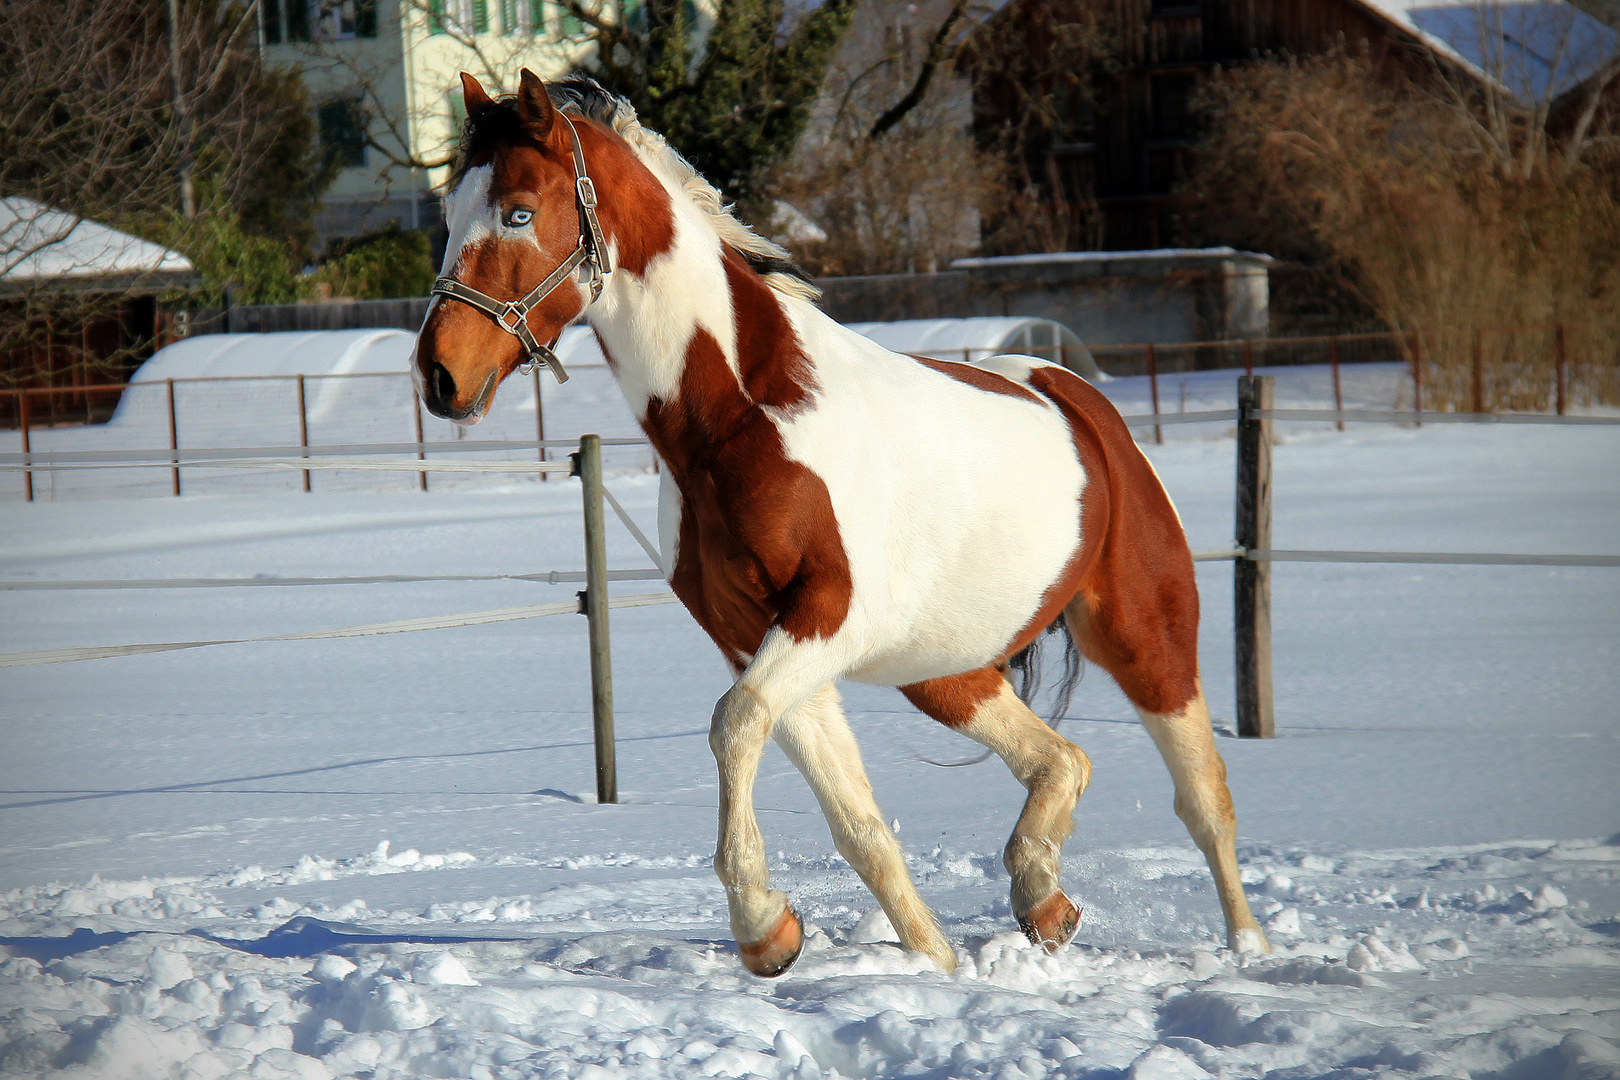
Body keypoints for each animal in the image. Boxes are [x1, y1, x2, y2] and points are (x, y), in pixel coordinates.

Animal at [414, 69, 1263, 977]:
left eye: (519, 211)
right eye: (450, 213)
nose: (439, 375)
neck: (747, 417)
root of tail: (1084, 404)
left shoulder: (826, 620)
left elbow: (733, 723)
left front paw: (762, 927)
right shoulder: (760, 639)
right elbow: (857, 824)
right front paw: (911, 960)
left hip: (1144, 635)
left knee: (1206, 797)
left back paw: (1247, 950)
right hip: (946, 668)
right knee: (1062, 759)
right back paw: (1043, 902)